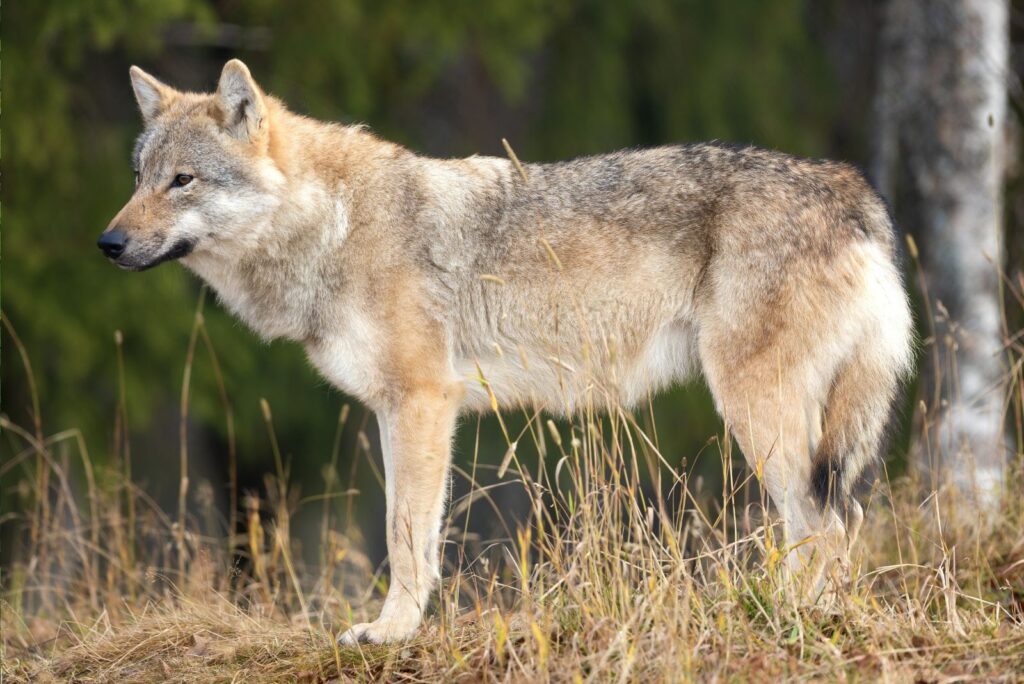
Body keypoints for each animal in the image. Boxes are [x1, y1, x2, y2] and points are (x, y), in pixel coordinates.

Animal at [101, 61, 913, 643]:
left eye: (183, 182)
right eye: (139, 179)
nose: (107, 242)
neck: (333, 227)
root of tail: (854, 190)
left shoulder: (424, 403)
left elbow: (406, 536)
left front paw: (390, 633)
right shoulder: (397, 413)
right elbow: (410, 532)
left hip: (758, 412)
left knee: (825, 523)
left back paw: (795, 619)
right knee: (836, 521)